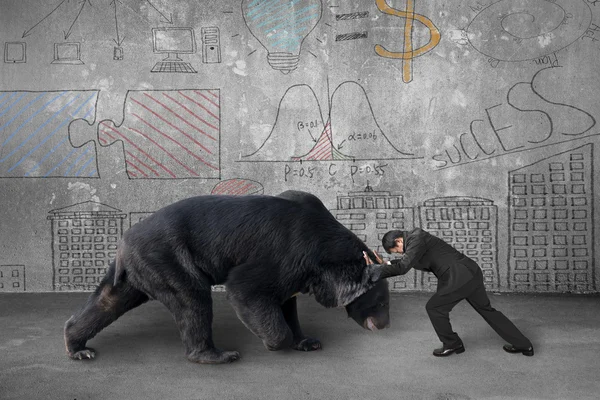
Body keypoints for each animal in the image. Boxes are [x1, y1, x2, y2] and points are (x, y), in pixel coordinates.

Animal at [63, 189, 386, 364]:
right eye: (380, 302)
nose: (383, 325)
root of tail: (122, 244)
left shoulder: (297, 271)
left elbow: (286, 303)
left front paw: (307, 341)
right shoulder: (286, 253)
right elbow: (247, 288)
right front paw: (273, 342)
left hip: (137, 273)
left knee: (108, 301)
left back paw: (77, 347)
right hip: (170, 259)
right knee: (193, 301)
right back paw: (217, 355)